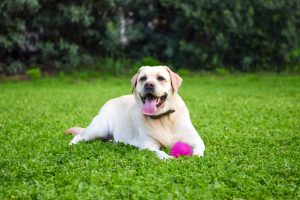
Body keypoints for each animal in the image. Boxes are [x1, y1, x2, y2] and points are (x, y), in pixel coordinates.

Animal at [65, 66, 205, 159]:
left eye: (161, 78)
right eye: (143, 78)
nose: (148, 84)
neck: (163, 118)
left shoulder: (196, 140)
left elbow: (199, 148)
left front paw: (194, 156)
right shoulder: (148, 145)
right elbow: (160, 153)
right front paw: (169, 158)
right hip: (100, 128)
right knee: (79, 136)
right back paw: (72, 145)